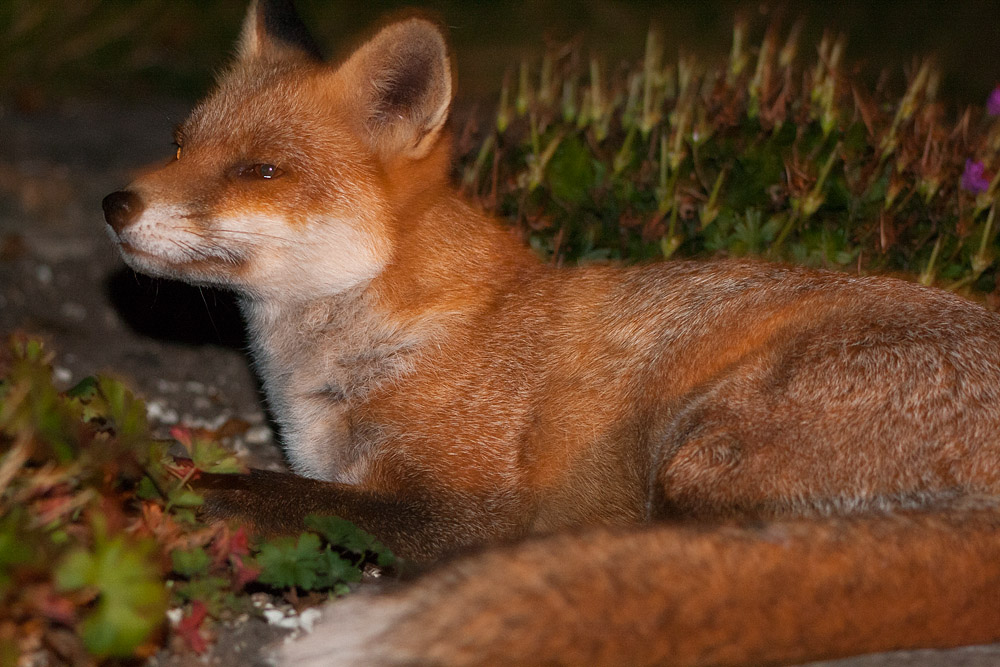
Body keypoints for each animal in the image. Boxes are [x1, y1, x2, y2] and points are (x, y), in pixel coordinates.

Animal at [101, 0, 1000, 665]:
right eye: (179, 143)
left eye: (261, 170)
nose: (115, 204)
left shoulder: (463, 511)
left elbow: (263, 489)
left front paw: (152, 477)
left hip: (701, 446)